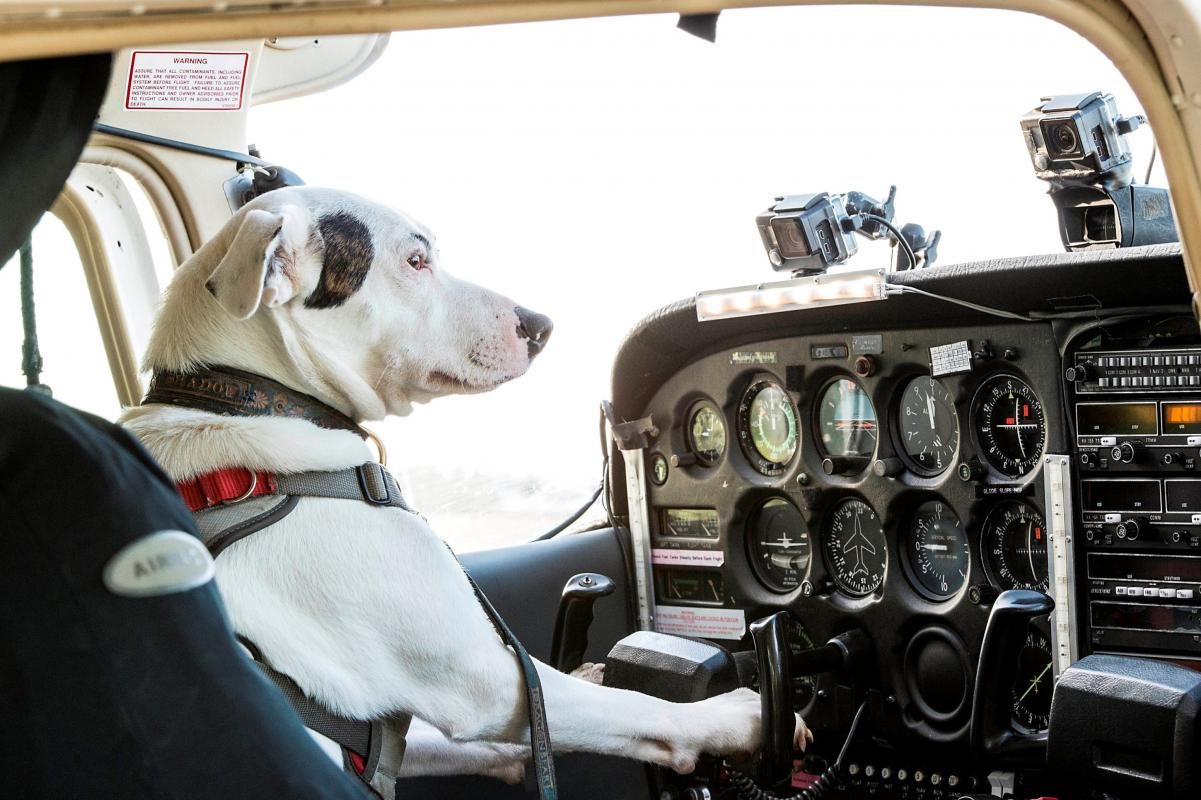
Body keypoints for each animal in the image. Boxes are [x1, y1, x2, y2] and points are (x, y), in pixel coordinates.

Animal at [119, 184, 807, 792]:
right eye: (415, 260)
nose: (541, 324)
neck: (255, 400)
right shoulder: (490, 685)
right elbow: (640, 711)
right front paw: (735, 717)